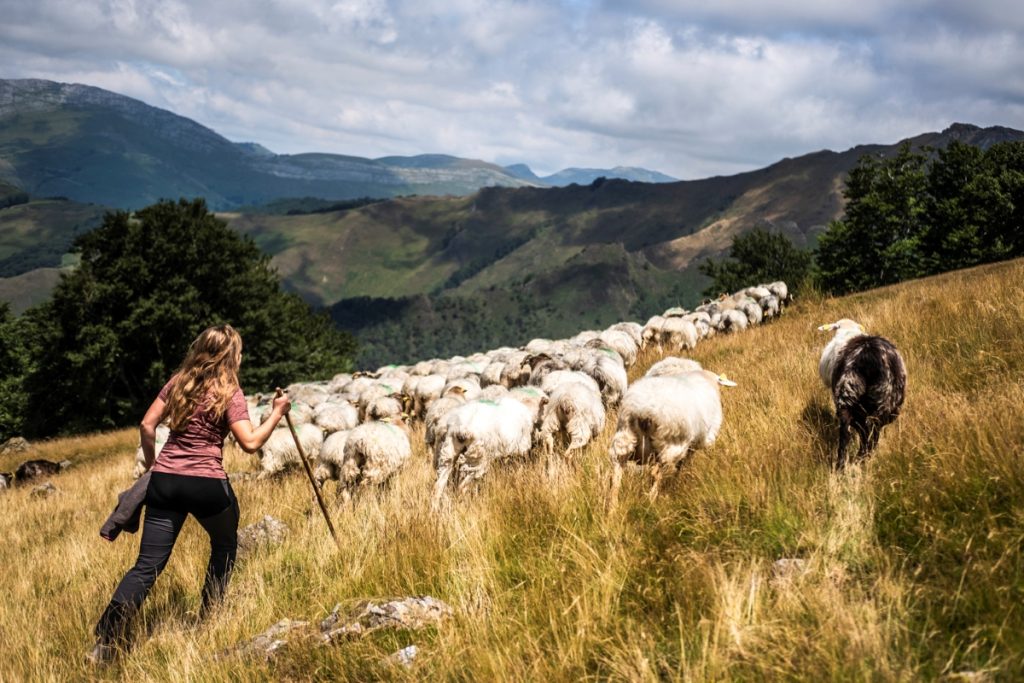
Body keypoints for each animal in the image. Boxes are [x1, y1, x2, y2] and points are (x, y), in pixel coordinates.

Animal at [606, 368, 737, 507]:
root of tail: (643, 411)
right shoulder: (700, 441)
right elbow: (684, 463)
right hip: (672, 444)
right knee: (656, 473)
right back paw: (651, 501)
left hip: (624, 438)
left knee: (616, 475)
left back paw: (613, 506)